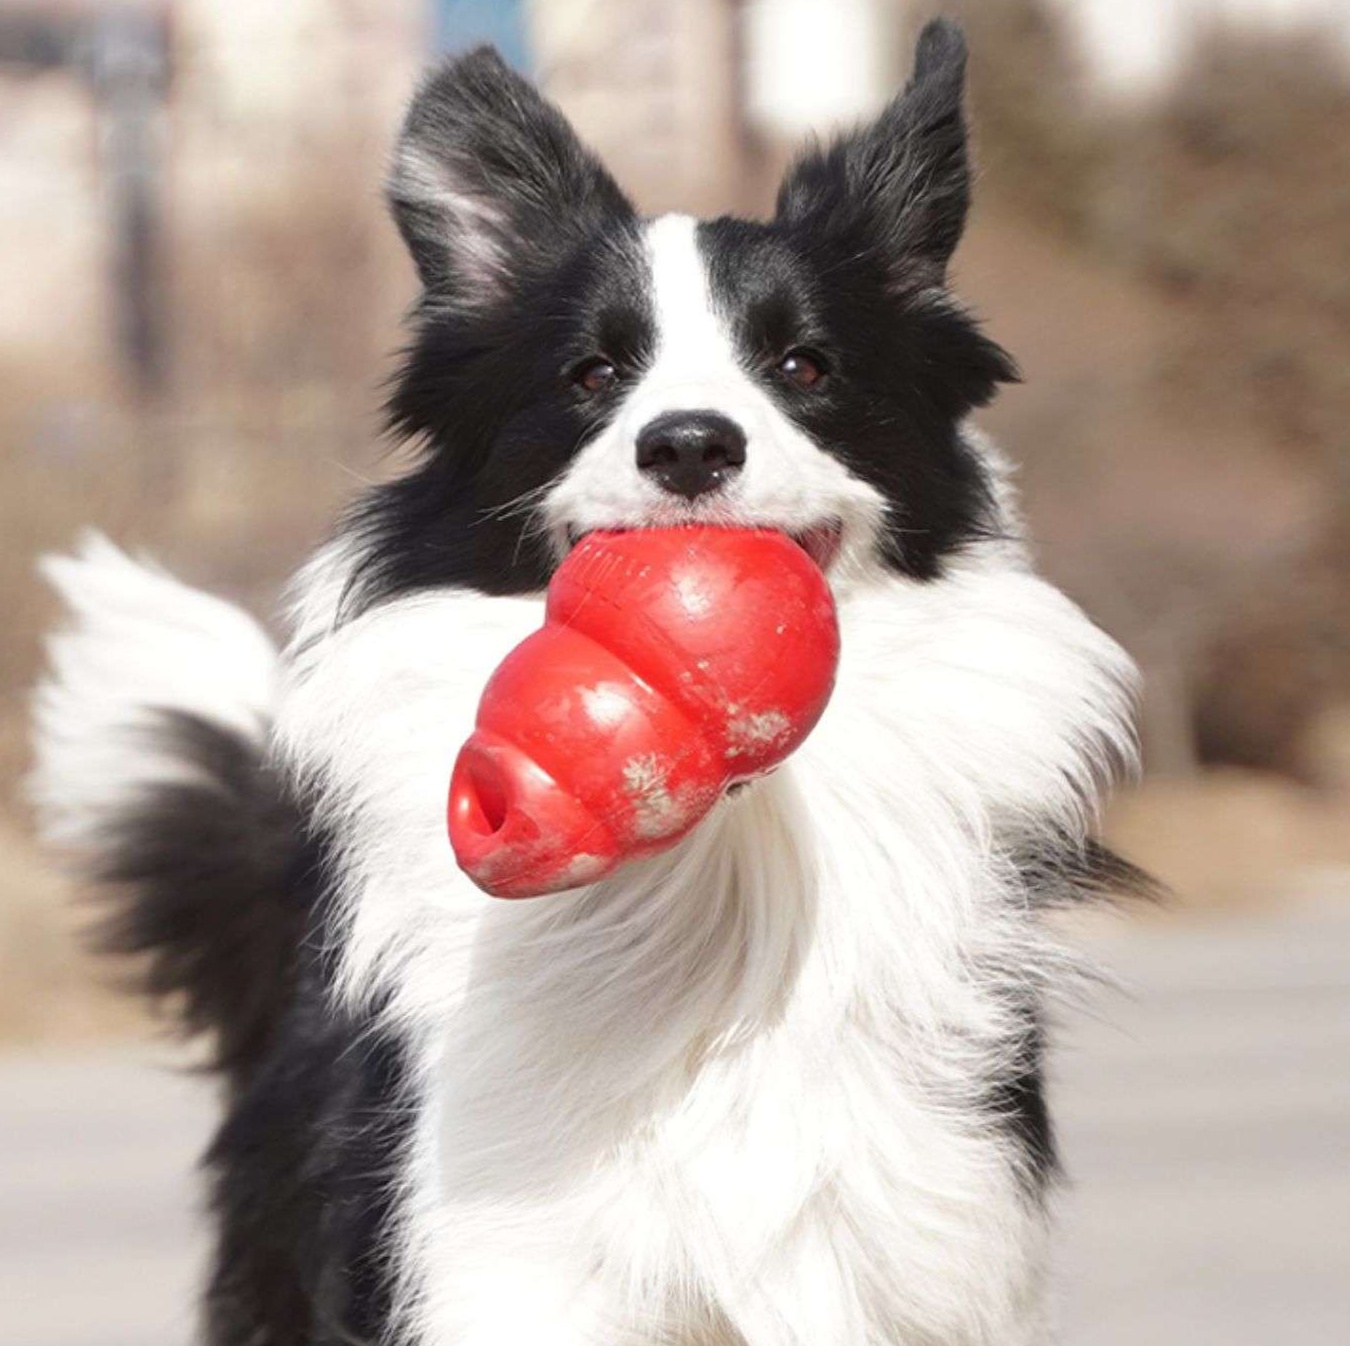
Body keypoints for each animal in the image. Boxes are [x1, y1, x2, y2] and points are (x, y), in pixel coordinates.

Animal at [31, 21, 1144, 1344]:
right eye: (591, 374)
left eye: (806, 364)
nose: (690, 444)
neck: (719, 866)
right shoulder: (502, 1264)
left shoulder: (911, 1251)